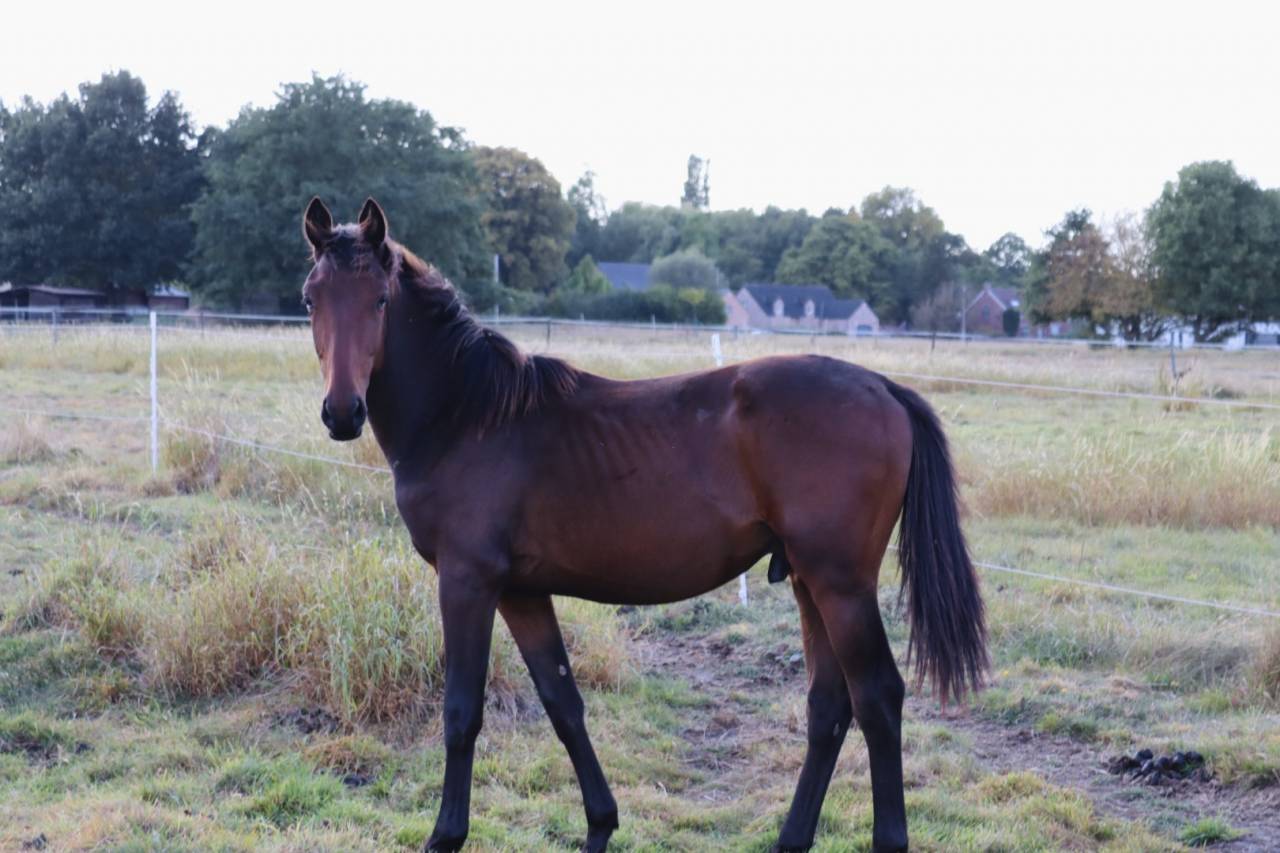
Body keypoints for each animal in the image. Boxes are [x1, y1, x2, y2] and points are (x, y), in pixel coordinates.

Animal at [299, 197, 987, 852]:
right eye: (311, 298)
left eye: (380, 299)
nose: (342, 412)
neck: (468, 416)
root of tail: (885, 388)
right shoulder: (522, 591)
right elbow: (563, 702)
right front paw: (601, 825)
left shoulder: (467, 582)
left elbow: (462, 711)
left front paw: (446, 834)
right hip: (807, 581)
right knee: (829, 706)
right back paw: (790, 838)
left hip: (841, 584)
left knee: (878, 700)